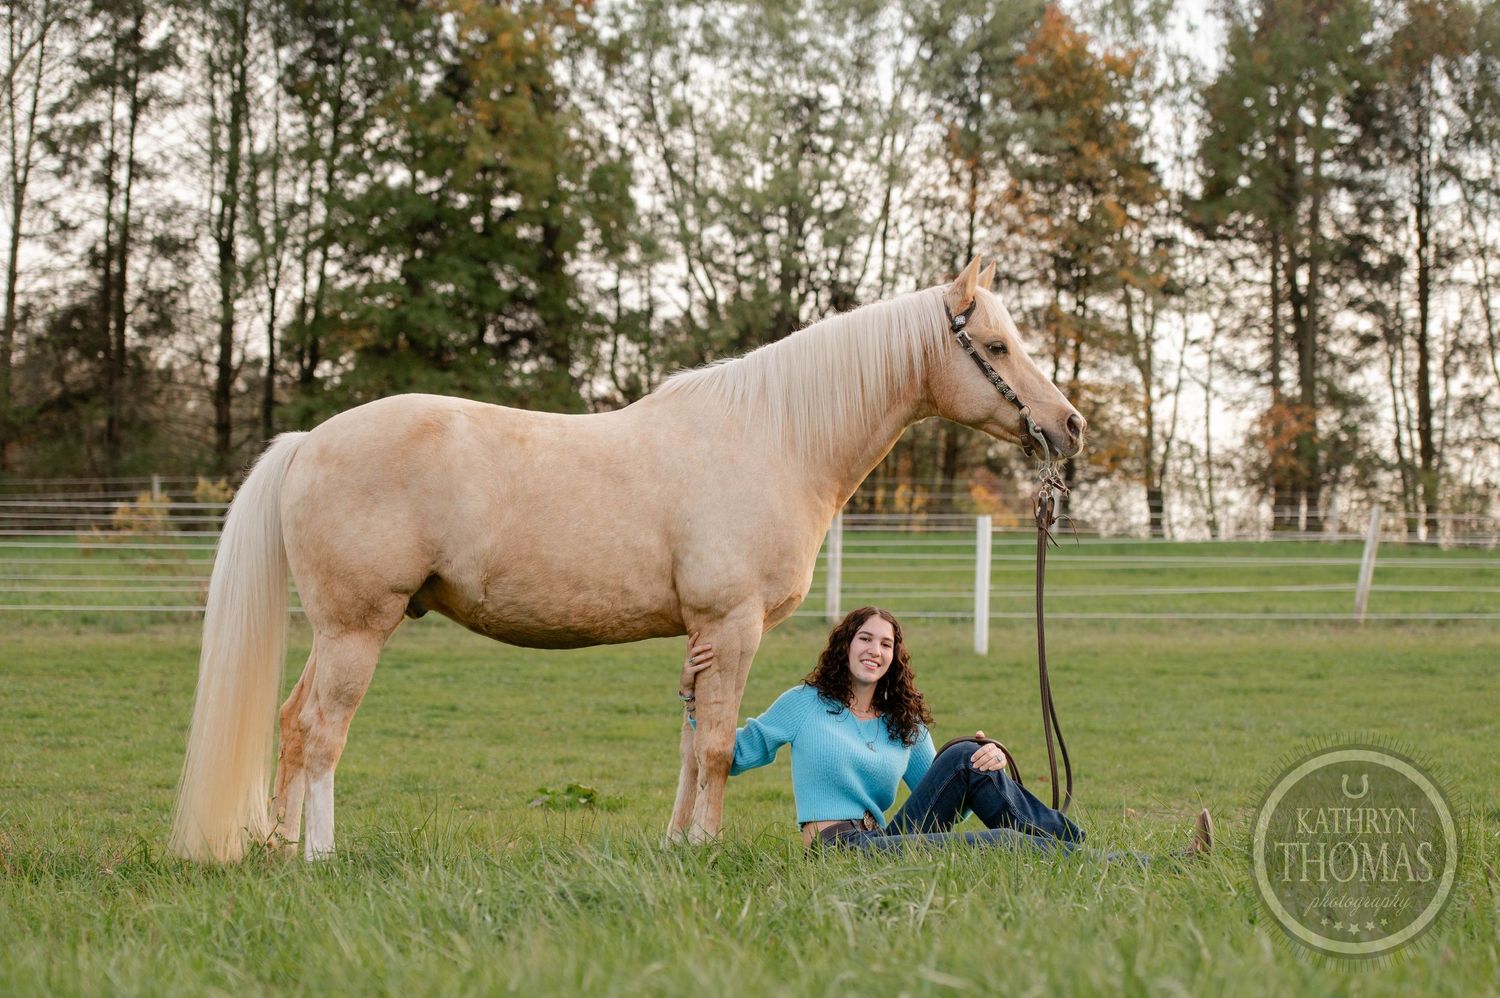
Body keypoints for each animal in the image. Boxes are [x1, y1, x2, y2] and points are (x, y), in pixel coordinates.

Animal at [167, 257, 1085, 862]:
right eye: (996, 346)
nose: (1069, 426)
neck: (775, 439)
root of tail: (306, 442)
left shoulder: (704, 635)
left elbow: (691, 741)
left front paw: (676, 844)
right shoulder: (734, 624)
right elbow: (714, 747)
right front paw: (706, 846)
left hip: (334, 632)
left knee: (293, 725)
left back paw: (274, 846)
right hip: (358, 628)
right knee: (324, 732)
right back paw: (316, 855)